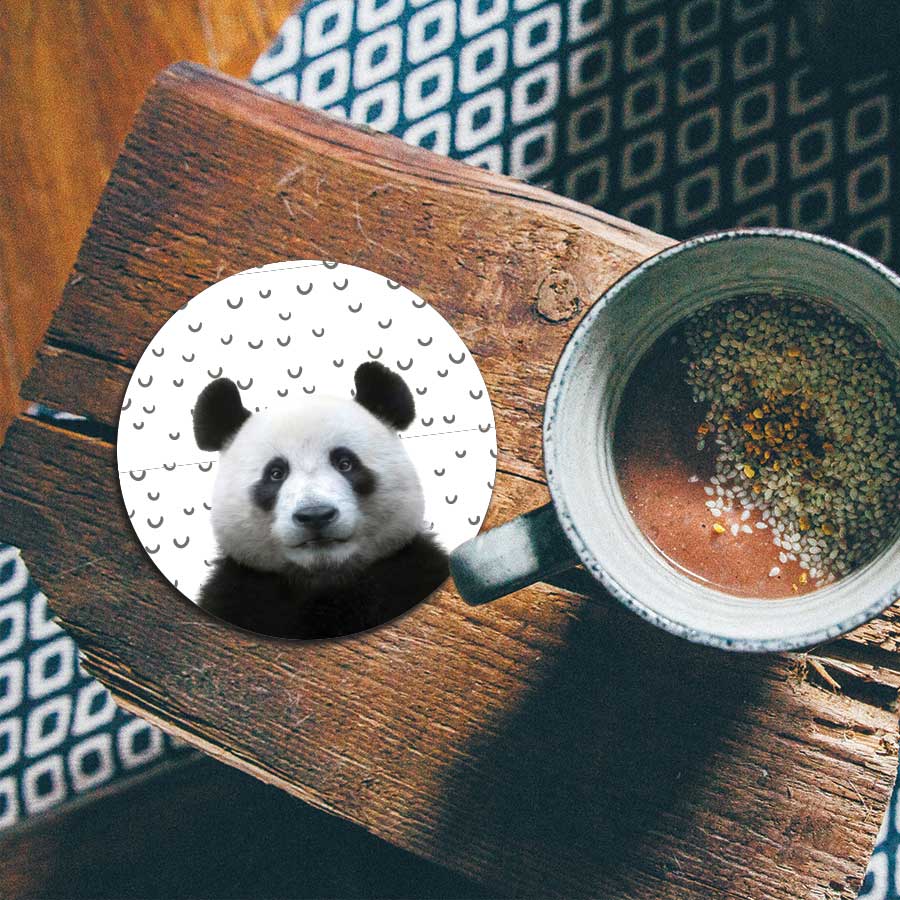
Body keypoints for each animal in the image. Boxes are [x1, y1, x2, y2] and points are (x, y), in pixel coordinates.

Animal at [192, 361, 449, 639]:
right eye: (276, 473)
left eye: (345, 463)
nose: (315, 515)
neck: (324, 581)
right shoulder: (240, 594)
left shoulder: (409, 573)